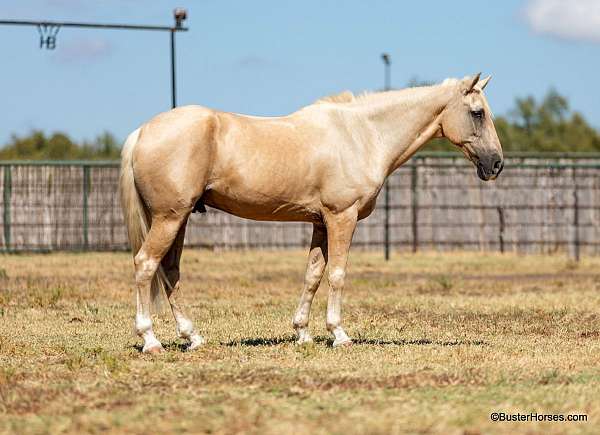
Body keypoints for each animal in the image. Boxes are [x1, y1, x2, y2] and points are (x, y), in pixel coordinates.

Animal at [119, 74, 504, 354]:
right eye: (477, 113)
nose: (496, 164)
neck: (362, 134)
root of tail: (142, 131)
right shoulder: (341, 217)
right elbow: (337, 274)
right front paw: (339, 334)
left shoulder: (319, 222)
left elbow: (313, 275)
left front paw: (302, 333)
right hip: (169, 217)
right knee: (146, 265)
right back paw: (150, 341)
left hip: (178, 218)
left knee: (170, 271)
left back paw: (193, 337)